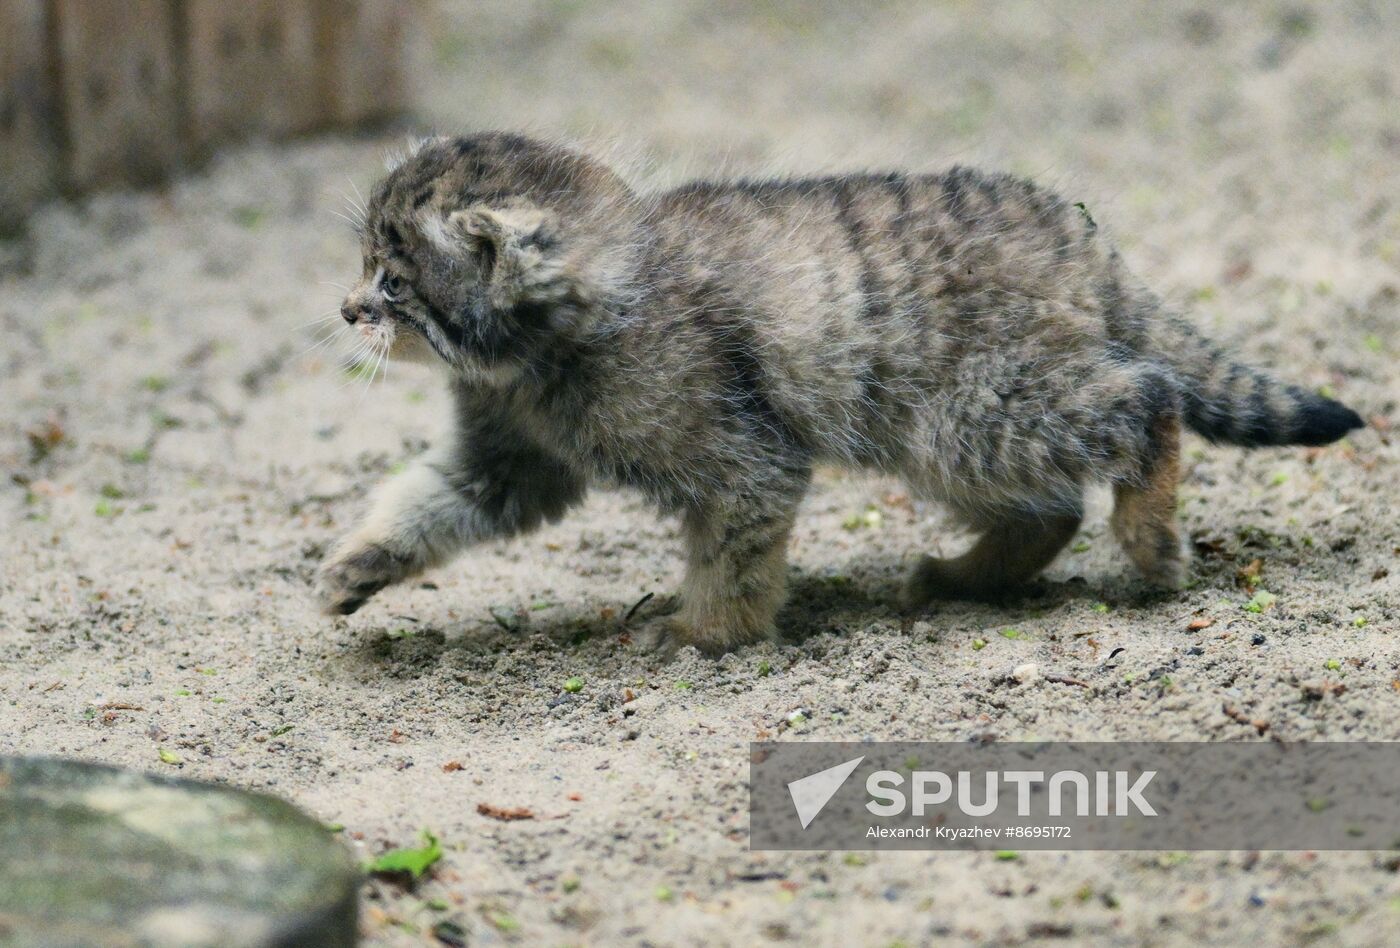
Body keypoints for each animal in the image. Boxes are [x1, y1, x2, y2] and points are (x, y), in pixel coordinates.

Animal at [315, 130, 1355, 649]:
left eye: (394, 282)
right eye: (363, 267)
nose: (346, 308)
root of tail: (1080, 235)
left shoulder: (744, 462)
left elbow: (732, 552)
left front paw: (709, 635)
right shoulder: (509, 457)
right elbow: (431, 497)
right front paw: (357, 564)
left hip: (973, 412)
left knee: (1148, 401)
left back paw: (1147, 539)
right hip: (962, 426)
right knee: (1055, 504)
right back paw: (965, 577)